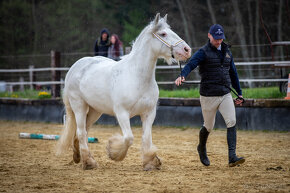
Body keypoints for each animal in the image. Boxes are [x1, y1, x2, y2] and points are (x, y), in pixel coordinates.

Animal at [57, 13, 191, 170]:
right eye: (163, 33)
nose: (187, 50)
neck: (137, 77)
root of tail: (75, 67)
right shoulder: (122, 113)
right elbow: (129, 138)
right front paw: (114, 153)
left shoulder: (149, 113)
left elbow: (146, 138)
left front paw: (150, 162)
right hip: (79, 106)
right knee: (81, 132)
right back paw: (89, 163)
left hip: (95, 110)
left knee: (83, 131)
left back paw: (79, 157)